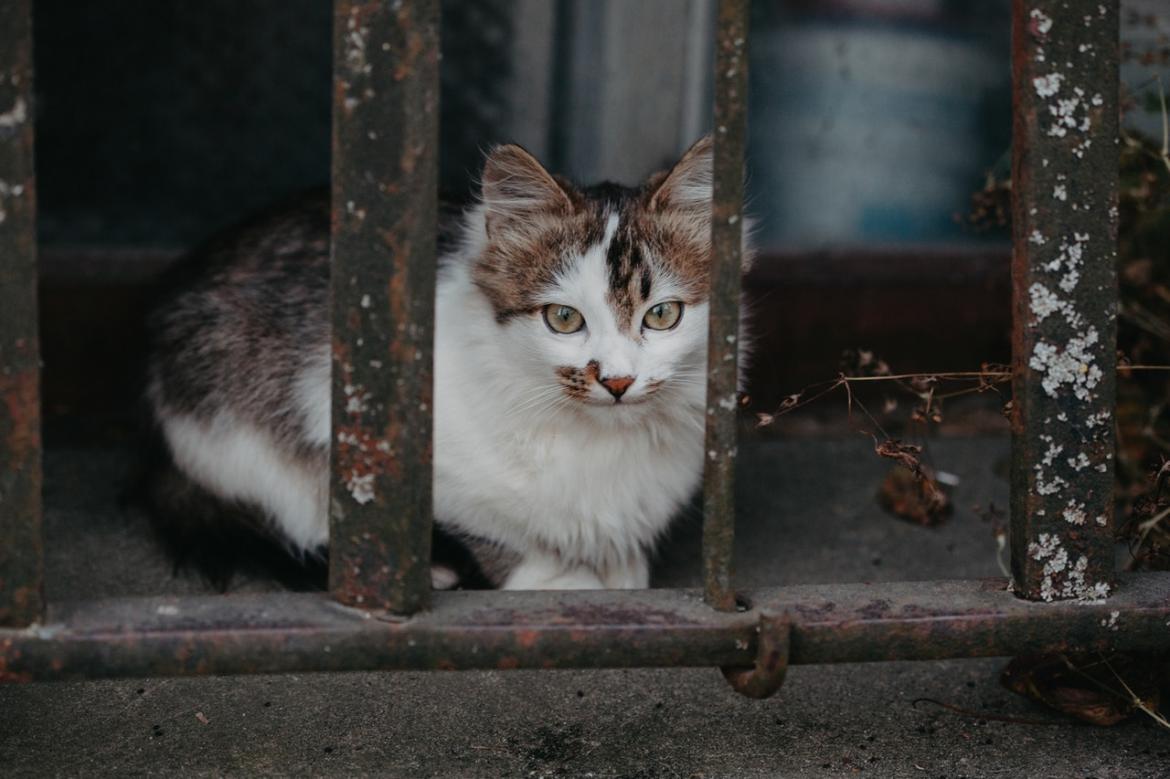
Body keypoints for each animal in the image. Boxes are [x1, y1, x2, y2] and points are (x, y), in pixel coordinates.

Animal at [144, 134, 750, 591]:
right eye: (563, 319)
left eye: (663, 314)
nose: (618, 380)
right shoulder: (342, 415)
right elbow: (498, 534)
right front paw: (560, 581)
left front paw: (617, 567)